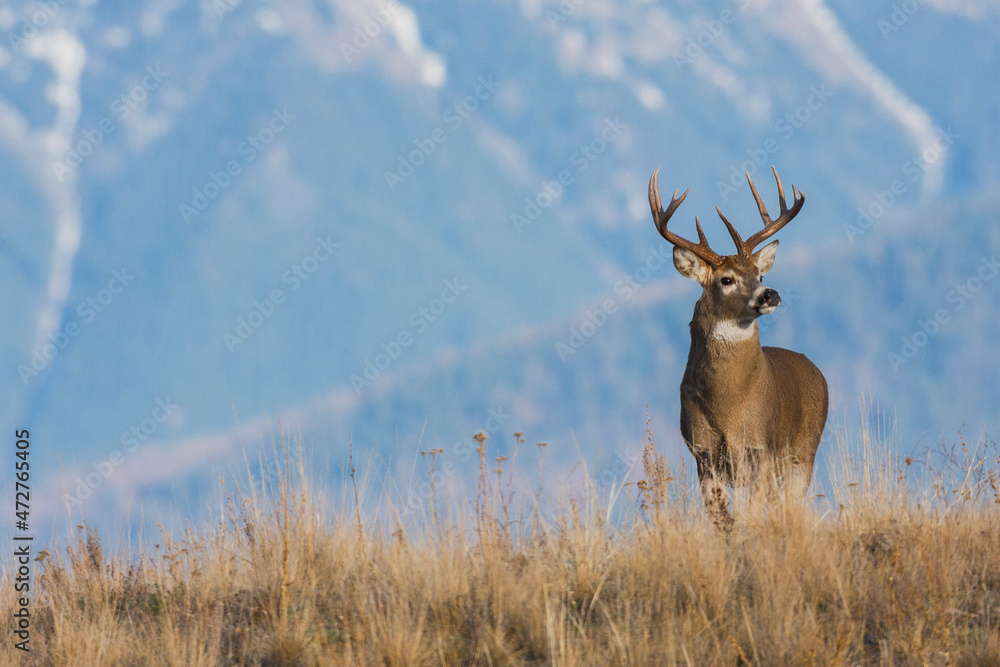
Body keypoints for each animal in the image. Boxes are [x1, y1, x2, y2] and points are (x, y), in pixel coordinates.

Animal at [648, 165, 828, 530]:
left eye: (759, 274)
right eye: (726, 279)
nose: (770, 294)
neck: (728, 407)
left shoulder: (762, 448)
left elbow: (751, 514)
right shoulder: (702, 452)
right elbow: (722, 520)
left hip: (804, 450)